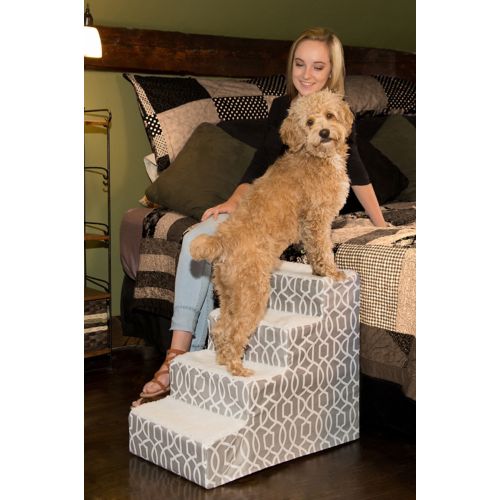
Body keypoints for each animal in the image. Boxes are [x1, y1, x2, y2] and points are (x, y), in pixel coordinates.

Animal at [190, 89, 354, 377]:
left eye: (329, 115)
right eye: (309, 122)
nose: (324, 132)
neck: (315, 156)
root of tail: (221, 240)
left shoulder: (309, 224)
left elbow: (313, 250)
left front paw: (318, 271)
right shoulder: (318, 218)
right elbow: (323, 248)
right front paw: (332, 272)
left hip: (230, 294)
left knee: (221, 329)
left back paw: (223, 361)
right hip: (253, 294)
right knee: (234, 334)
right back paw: (239, 370)